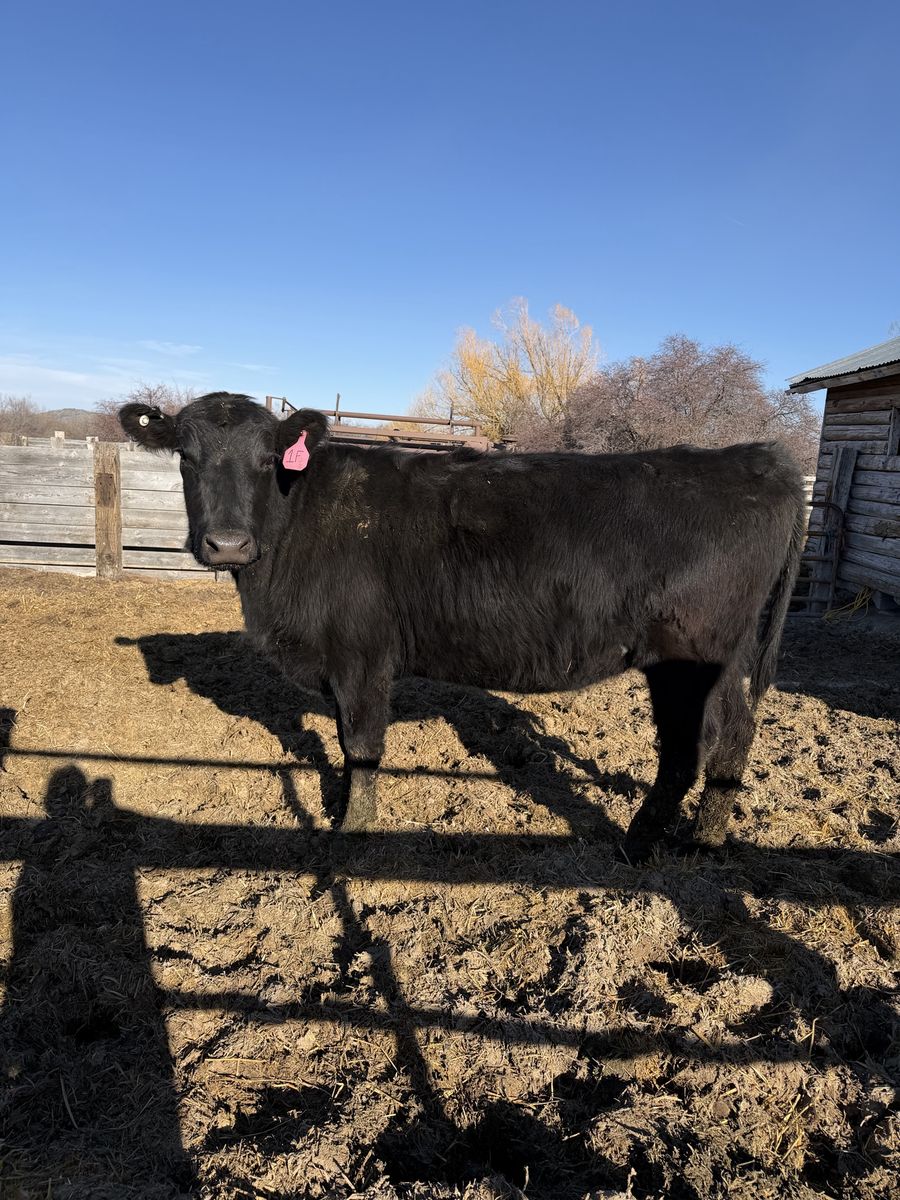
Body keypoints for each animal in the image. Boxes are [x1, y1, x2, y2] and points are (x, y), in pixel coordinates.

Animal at [120, 392, 805, 855]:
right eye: (185, 456)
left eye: (268, 460)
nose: (227, 544)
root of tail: (759, 460)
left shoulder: (360, 653)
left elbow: (360, 746)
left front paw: (353, 831)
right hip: (718, 660)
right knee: (725, 736)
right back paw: (687, 837)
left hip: (693, 655)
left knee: (699, 745)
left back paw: (658, 843)